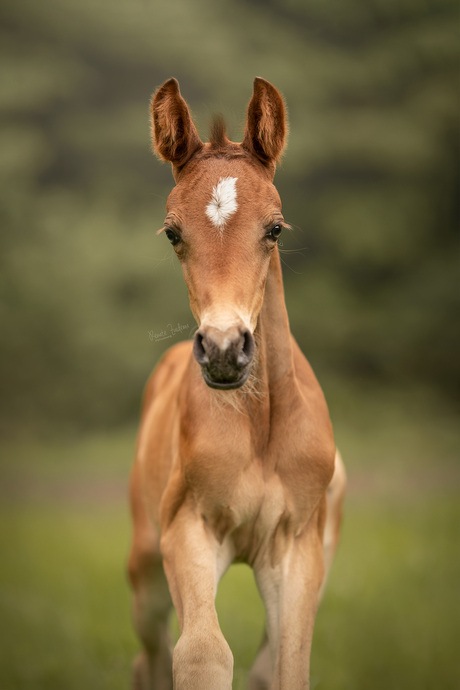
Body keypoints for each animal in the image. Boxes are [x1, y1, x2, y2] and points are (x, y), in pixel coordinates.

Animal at [128, 76, 344, 688]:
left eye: (274, 228)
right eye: (172, 233)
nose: (225, 350)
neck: (261, 428)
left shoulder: (297, 549)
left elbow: (289, 667)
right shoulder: (188, 529)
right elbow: (202, 653)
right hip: (145, 569)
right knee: (149, 657)